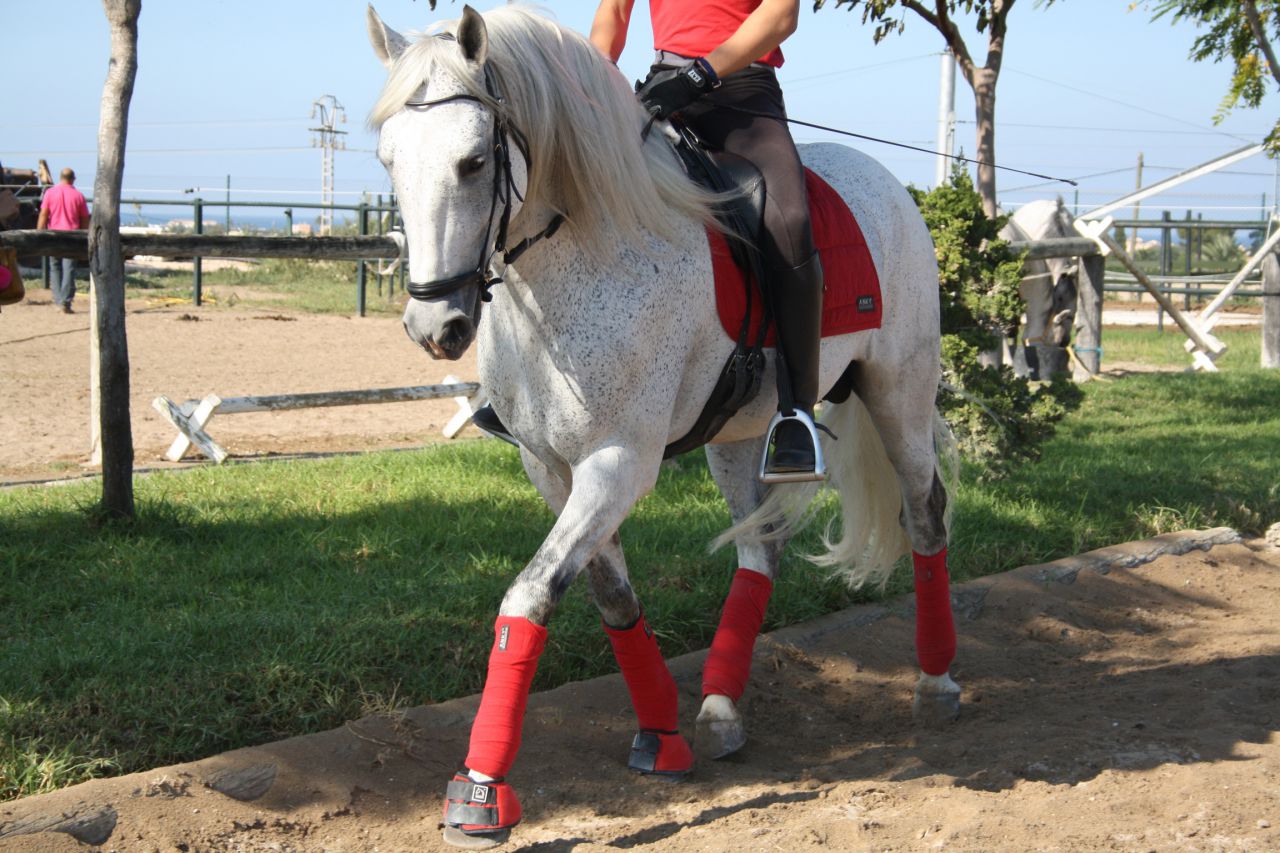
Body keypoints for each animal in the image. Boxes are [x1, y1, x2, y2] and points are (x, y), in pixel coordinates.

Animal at [367, 5, 958, 846]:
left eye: (474, 161)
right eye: (389, 159)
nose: (434, 325)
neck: (589, 254)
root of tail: (887, 183)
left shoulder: (618, 461)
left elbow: (528, 596)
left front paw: (480, 788)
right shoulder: (552, 467)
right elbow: (610, 597)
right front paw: (663, 737)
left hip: (898, 394)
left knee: (924, 511)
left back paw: (936, 681)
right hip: (740, 438)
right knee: (759, 551)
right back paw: (718, 709)